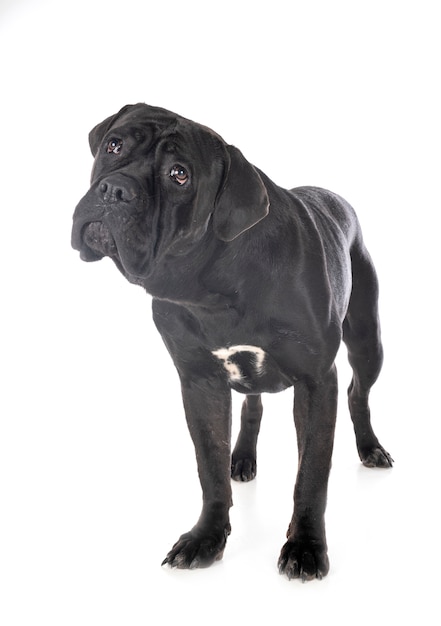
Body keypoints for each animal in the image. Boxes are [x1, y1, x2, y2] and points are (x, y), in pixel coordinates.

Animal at [72, 103, 392, 580]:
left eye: (179, 174)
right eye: (114, 145)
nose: (114, 190)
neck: (213, 282)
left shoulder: (317, 381)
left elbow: (312, 473)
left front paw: (305, 546)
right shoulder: (200, 382)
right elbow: (209, 467)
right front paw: (205, 538)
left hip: (368, 341)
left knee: (358, 393)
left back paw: (370, 448)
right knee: (252, 406)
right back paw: (241, 458)